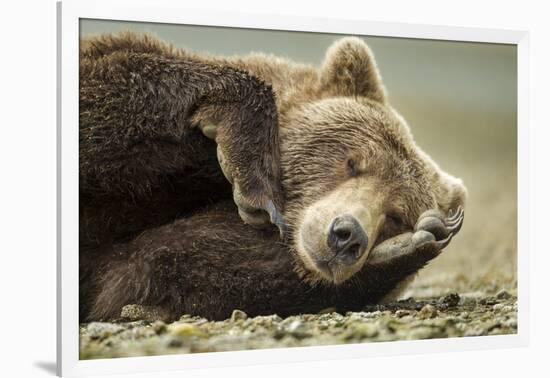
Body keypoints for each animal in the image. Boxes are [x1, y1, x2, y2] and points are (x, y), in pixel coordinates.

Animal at [80, 33, 468, 322]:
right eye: (352, 162)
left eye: (396, 215)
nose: (346, 235)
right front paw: (252, 180)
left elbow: (145, 271)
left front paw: (406, 247)